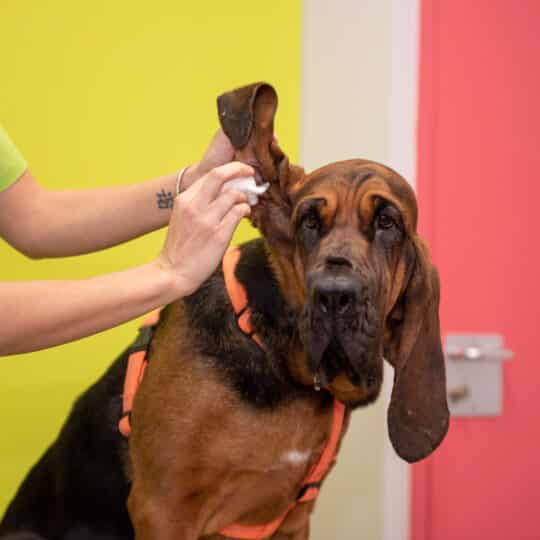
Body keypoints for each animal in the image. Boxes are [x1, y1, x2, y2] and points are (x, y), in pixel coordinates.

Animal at [0, 83, 448, 540]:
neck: (281, 363)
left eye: (388, 223)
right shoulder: (163, 509)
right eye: (307, 220)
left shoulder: (294, 519)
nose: (335, 295)